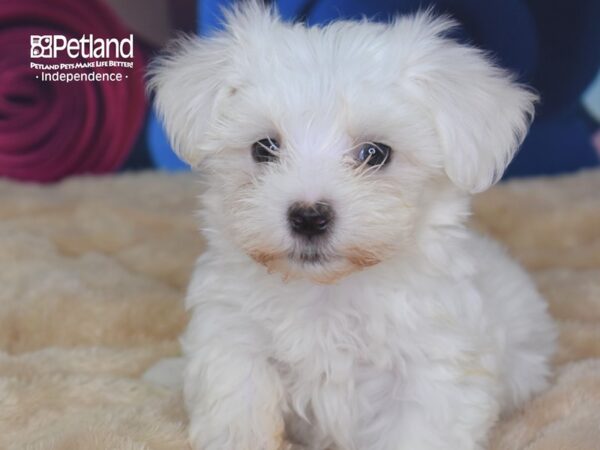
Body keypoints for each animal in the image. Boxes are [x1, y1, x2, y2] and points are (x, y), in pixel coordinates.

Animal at [150, 3, 556, 450]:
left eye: (375, 154)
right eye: (264, 148)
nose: (309, 216)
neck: (328, 293)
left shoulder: (432, 369)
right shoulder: (234, 341)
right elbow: (239, 414)